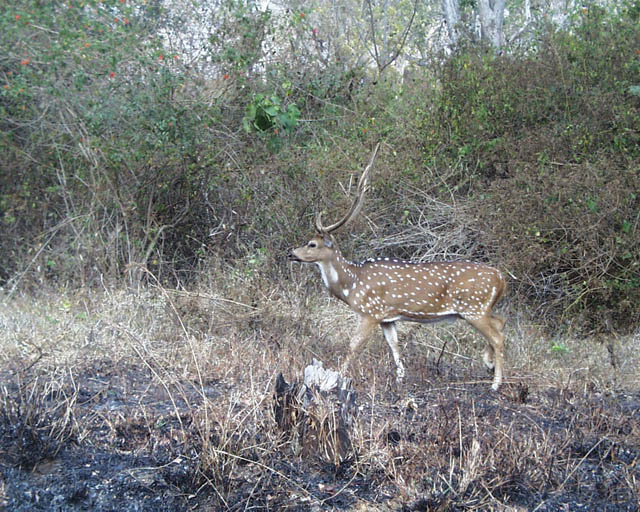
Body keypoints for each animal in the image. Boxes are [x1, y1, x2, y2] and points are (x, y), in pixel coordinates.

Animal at [289, 143, 507, 390]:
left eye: (312, 244)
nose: (291, 253)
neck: (352, 284)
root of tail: (502, 279)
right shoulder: (388, 318)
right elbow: (394, 346)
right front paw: (400, 378)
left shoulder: (370, 311)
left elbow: (354, 344)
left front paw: (336, 375)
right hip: (478, 309)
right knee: (501, 322)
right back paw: (488, 363)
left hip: (474, 308)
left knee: (497, 336)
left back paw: (495, 383)